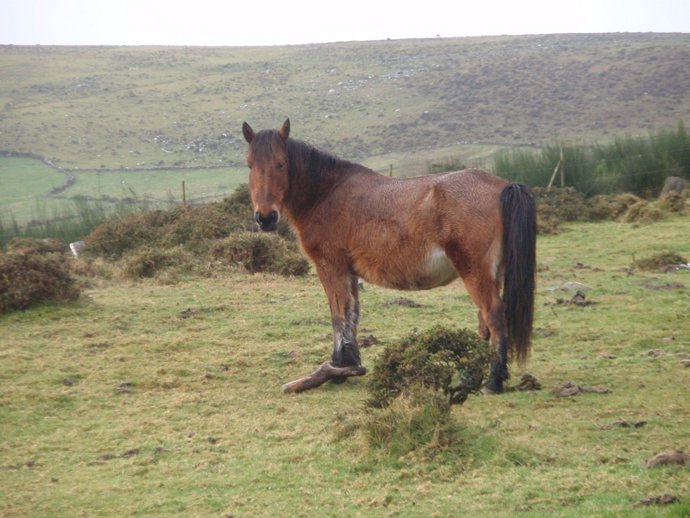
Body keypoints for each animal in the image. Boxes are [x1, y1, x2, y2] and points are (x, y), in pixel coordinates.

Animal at [243, 120, 536, 396]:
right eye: (249, 165)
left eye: (281, 164)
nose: (265, 217)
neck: (327, 193)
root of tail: (504, 186)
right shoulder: (349, 272)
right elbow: (352, 314)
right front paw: (347, 365)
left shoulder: (331, 267)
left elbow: (338, 315)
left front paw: (336, 368)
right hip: (492, 274)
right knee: (484, 321)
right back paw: (469, 376)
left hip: (475, 272)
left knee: (493, 315)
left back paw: (493, 382)